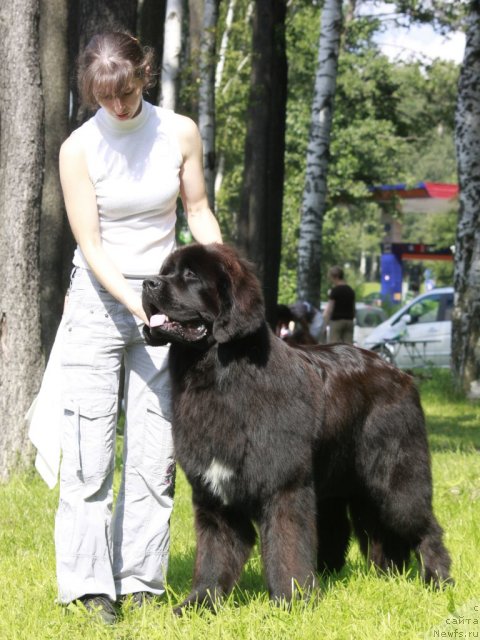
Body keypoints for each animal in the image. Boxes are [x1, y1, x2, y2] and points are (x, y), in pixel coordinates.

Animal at [142, 241, 450, 608]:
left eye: (190, 274)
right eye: (166, 271)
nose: (147, 282)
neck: (219, 377)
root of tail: (399, 373)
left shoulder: (283, 486)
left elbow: (287, 545)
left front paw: (293, 601)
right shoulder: (214, 494)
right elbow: (214, 553)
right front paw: (200, 603)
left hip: (396, 480)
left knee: (424, 525)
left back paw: (438, 578)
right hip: (341, 483)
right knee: (354, 529)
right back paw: (374, 573)